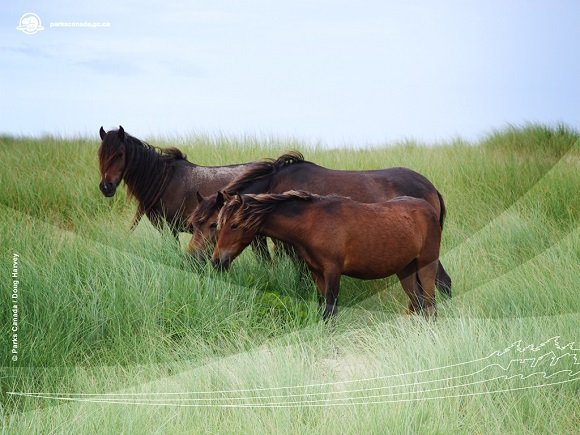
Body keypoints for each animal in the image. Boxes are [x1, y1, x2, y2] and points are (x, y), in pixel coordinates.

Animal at [212, 192, 440, 320]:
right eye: (219, 224)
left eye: (234, 225)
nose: (217, 261)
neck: (312, 223)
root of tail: (429, 209)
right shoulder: (317, 273)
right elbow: (323, 308)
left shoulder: (333, 272)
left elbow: (330, 311)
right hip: (406, 270)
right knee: (419, 304)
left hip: (427, 266)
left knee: (430, 305)